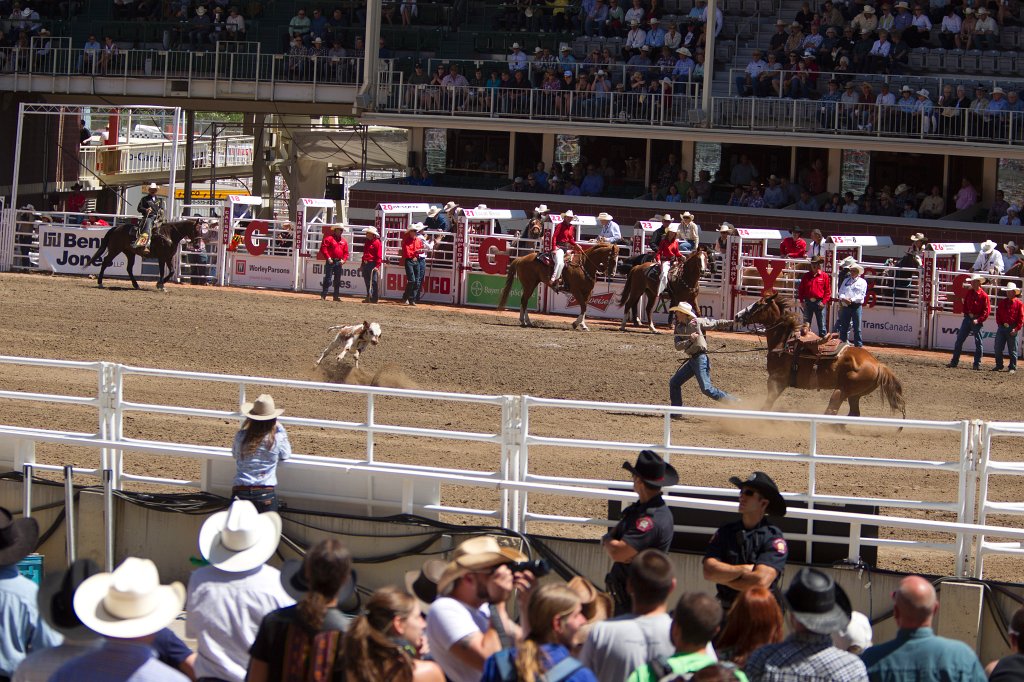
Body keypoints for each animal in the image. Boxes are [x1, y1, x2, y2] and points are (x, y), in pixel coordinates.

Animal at [737, 290, 905, 417]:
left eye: (758, 304)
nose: (738, 315)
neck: (783, 341)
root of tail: (879, 365)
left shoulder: (777, 380)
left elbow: (768, 404)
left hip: (842, 391)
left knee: (832, 410)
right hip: (854, 395)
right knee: (853, 413)